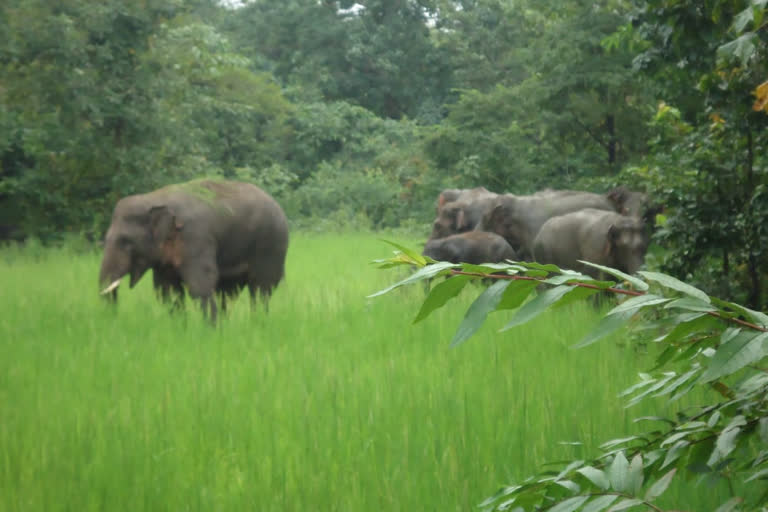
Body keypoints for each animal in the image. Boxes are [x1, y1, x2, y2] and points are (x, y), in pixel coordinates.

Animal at [97, 178, 288, 318]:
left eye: (125, 241)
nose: (112, 318)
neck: (154, 199)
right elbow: (168, 291)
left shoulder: (195, 238)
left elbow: (200, 284)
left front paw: (211, 333)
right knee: (228, 293)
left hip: (271, 245)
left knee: (261, 290)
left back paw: (258, 323)